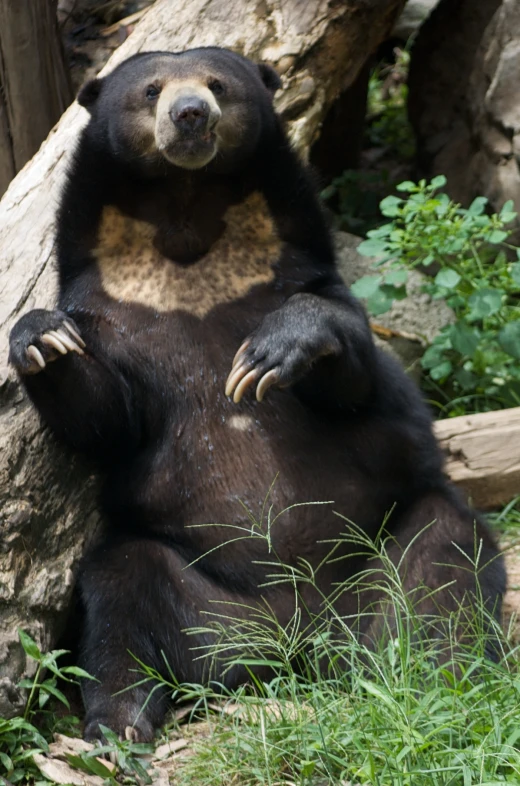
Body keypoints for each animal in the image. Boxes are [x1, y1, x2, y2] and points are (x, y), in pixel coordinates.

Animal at [7, 46, 504, 740]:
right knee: (119, 595)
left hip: (386, 554)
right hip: (198, 598)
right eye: (152, 90)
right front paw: (41, 338)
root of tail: (295, 639)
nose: (190, 115)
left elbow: (354, 368)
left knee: (442, 568)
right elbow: (108, 414)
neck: (188, 224)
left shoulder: (292, 265)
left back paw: (442, 683)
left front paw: (267, 355)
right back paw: (117, 725)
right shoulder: (109, 306)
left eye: (217, 85)